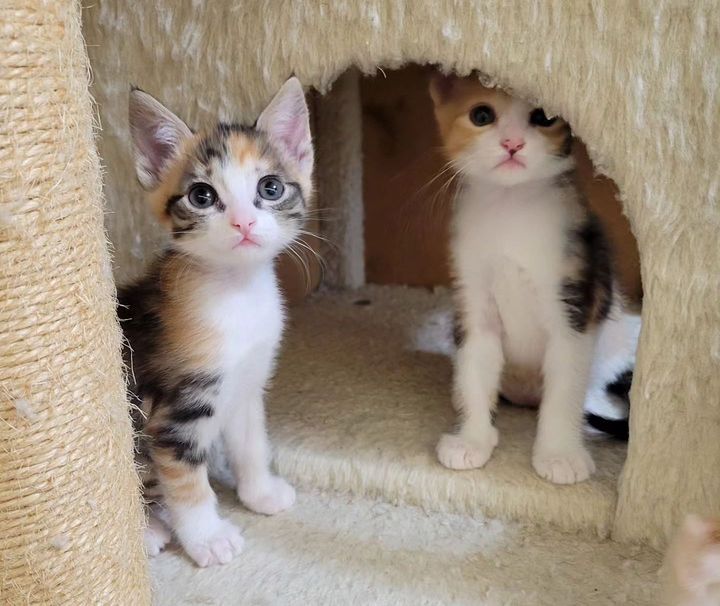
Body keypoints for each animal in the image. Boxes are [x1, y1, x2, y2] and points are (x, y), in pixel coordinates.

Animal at [120, 78, 312, 568]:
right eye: (202, 196)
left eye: (270, 187)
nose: (243, 222)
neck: (237, 295)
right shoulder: (174, 412)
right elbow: (187, 482)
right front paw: (207, 538)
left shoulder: (247, 383)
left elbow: (252, 443)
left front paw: (260, 493)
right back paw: (149, 530)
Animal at [428, 75, 636, 484]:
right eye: (481, 115)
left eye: (543, 117)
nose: (512, 143)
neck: (511, 208)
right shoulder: (473, 295)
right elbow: (476, 365)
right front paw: (472, 439)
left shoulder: (575, 298)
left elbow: (565, 383)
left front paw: (559, 453)